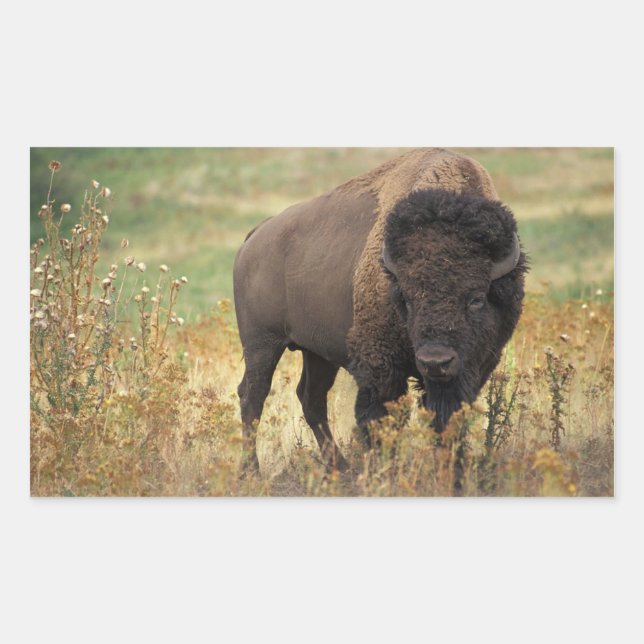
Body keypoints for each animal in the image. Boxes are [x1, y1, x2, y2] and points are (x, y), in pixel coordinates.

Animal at [233, 148, 527, 471]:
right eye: (407, 299)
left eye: (476, 298)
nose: (435, 362)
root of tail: (255, 236)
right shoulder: (380, 367)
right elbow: (380, 420)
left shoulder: (473, 368)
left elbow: (447, 419)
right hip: (262, 344)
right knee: (253, 396)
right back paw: (252, 471)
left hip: (317, 352)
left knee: (311, 398)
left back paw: (340, 468)